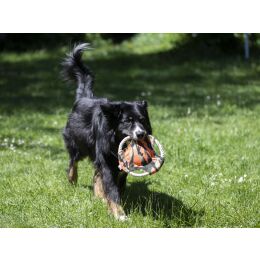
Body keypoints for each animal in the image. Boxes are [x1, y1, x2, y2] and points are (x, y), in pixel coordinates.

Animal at [61, 43, 152, 220]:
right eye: (127, 121)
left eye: (142, 120)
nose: (141, 134)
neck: (115, 139)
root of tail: (84, 97)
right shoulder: (105, 158)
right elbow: (111, 187)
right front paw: (119, 214)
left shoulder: (120, 166)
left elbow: (117, 185)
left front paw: (113, 205)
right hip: (79, 144)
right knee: (73, 161)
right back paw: (72, 179)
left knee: (96, 174)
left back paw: (99, 196)